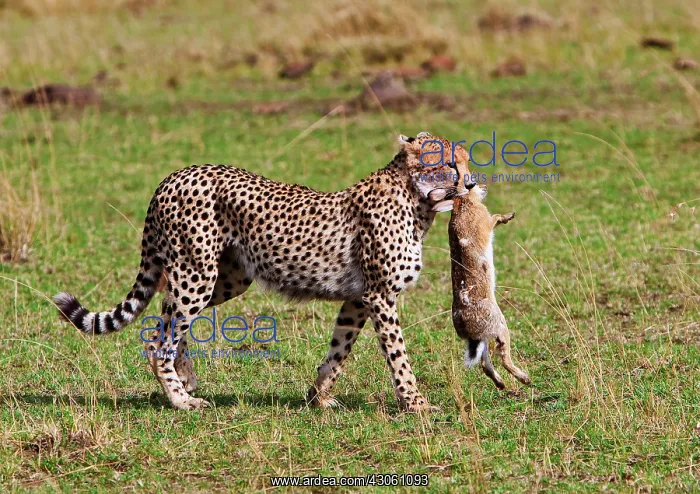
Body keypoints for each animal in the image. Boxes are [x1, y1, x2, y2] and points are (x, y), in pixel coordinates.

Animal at [54, 131, 471, 411]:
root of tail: (176, 174)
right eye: (450, 163)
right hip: (196, 273)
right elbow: (399, 356)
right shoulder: (379, 295)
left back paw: (185, 379)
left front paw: (319, 396)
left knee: (165, 317)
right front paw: (416, 403)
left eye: (467, 161)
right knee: (159, 340)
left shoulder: (357, 298)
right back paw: (181, 400)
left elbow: (340, 349)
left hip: (226, 278)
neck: (416, 200)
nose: (470, 183)